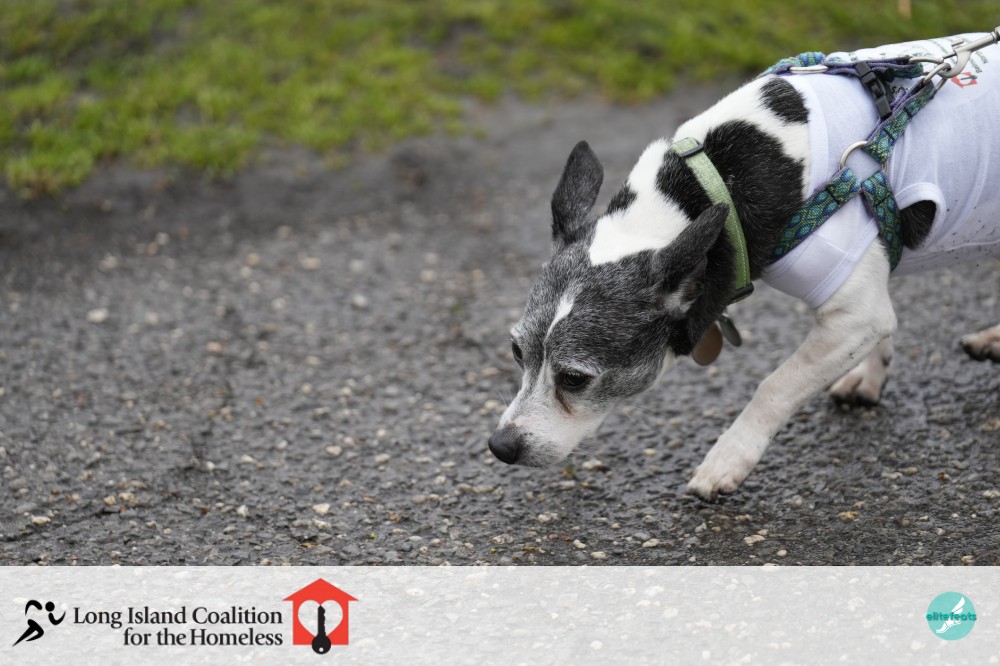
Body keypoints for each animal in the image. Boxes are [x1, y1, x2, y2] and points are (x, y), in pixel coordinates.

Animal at [488, 34, 1000, 500]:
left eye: (575, 379)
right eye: (516, 353)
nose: (500, 447)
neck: (718, 182)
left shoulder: (854, 314)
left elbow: (775, 385)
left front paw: (728, 459)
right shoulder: (865, 299)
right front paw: (871, 373)